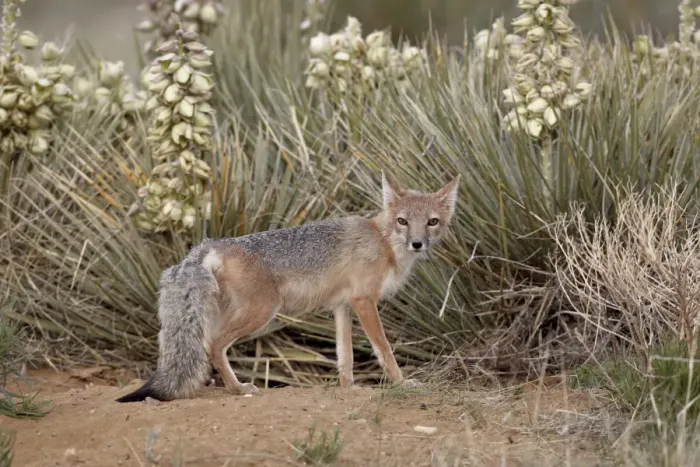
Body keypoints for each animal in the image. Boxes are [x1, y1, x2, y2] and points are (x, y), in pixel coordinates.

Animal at [116, 171, 460, 403]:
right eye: (403, 221)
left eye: (431, 222)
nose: (417, 243)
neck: (385, 243)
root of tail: (212, 244)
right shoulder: (364, 301)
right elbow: (384, 350)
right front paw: (401, 383)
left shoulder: (343, 306)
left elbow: (345, 356)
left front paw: (348, 389)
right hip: (260, 313)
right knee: (214, 345)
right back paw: (238, 388)